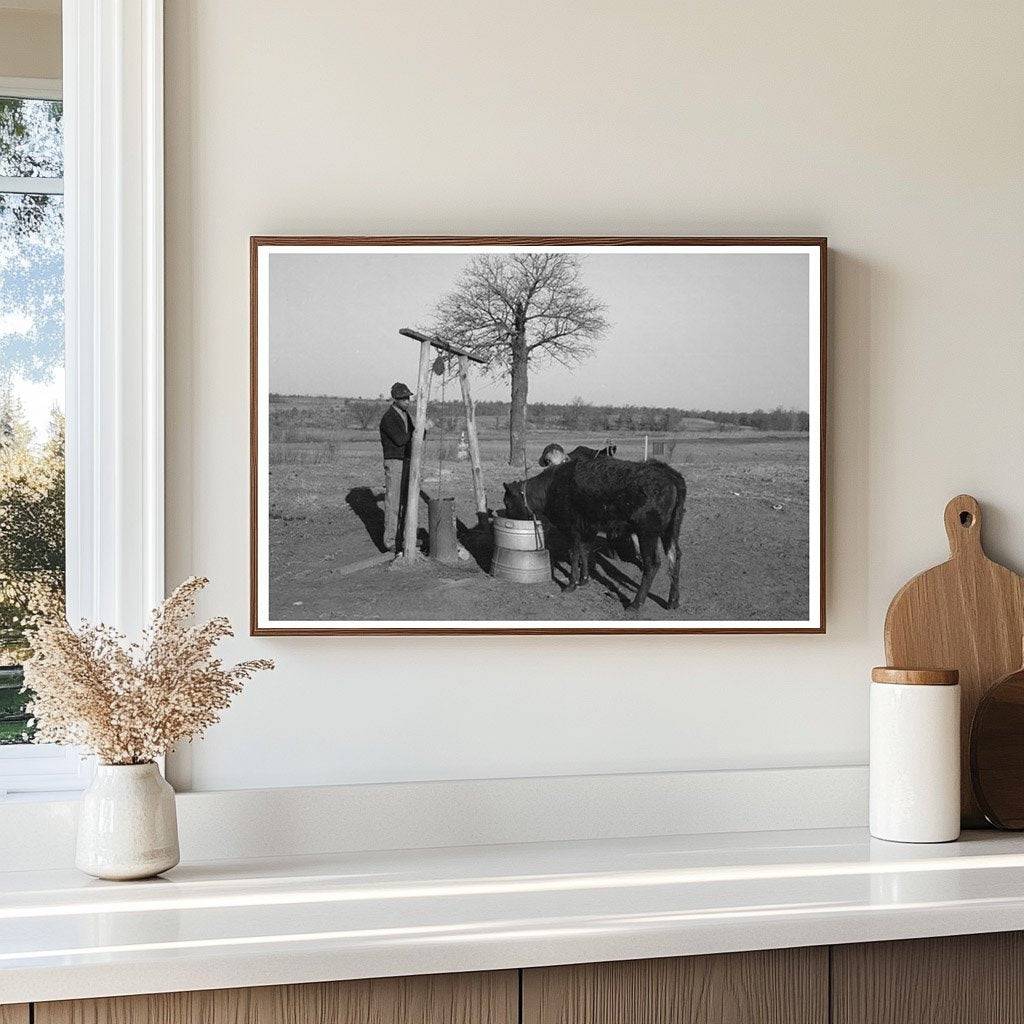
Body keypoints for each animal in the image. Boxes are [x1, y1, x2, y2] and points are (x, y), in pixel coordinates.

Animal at [503, 460, 688, 610]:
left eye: (507, 502)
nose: (508, 517)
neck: (550, 487)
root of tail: (670, 474)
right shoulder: (588, 529)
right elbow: (584, 551)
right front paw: (584, 579)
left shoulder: (572, 528)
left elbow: (574, 553)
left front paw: (571, 584)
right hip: (671, 531)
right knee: (675, 557)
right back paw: (673, 601)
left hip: (647, 533)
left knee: (652, 564)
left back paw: (636, 604)